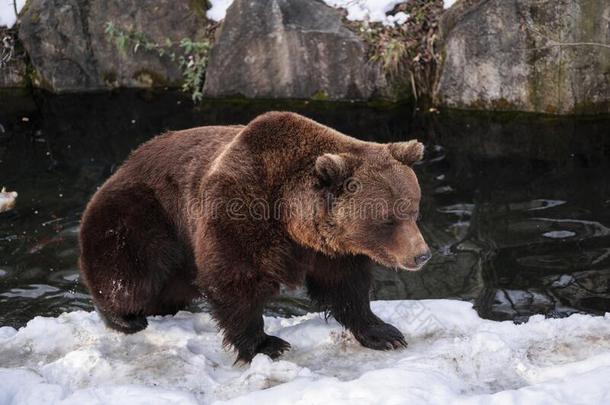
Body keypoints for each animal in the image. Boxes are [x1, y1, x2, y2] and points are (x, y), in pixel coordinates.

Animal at [78, 111, 430, 362]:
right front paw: (267, 344)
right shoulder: (237, 210)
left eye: (413, 209)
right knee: (130, 271)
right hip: (144, 214)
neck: (290, 219)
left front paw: (384, 333)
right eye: (387, 219)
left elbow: (345, 286)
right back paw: (126, 318)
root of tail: (120, 168)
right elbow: (235, 280)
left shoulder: (329, 248)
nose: (421, 255)